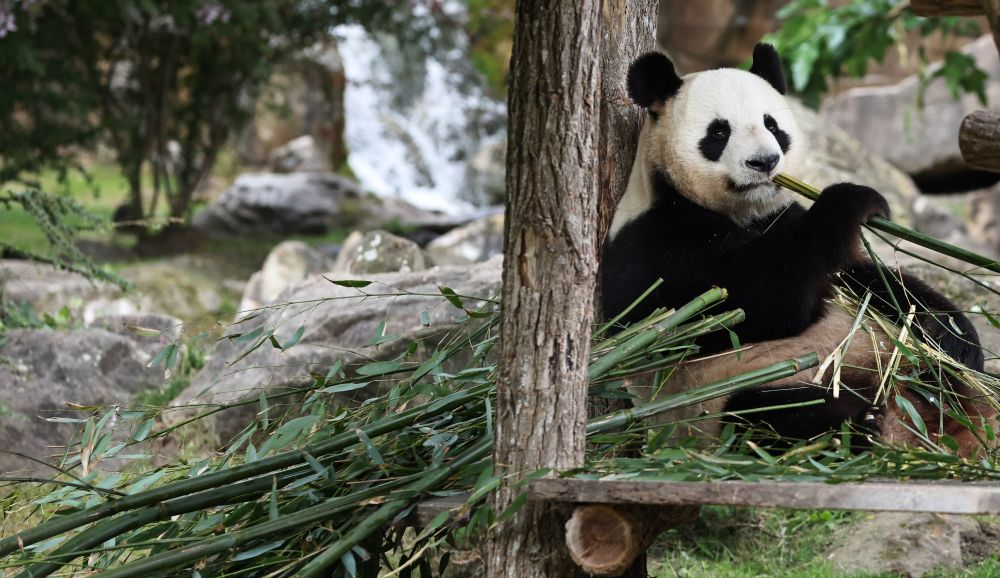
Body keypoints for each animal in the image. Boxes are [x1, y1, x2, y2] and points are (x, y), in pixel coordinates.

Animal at [596, 42, 996, 452]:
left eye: (772, 125)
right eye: (719, 132)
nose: (765, 161)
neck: (740, 213)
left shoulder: (781, 216)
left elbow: (872, 283)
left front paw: (955, 338)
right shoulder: (655, 245)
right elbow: (756, 299)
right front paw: (852, 200)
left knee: (937, 381)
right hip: (735, 395)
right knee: (772, 414)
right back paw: (865, 424)